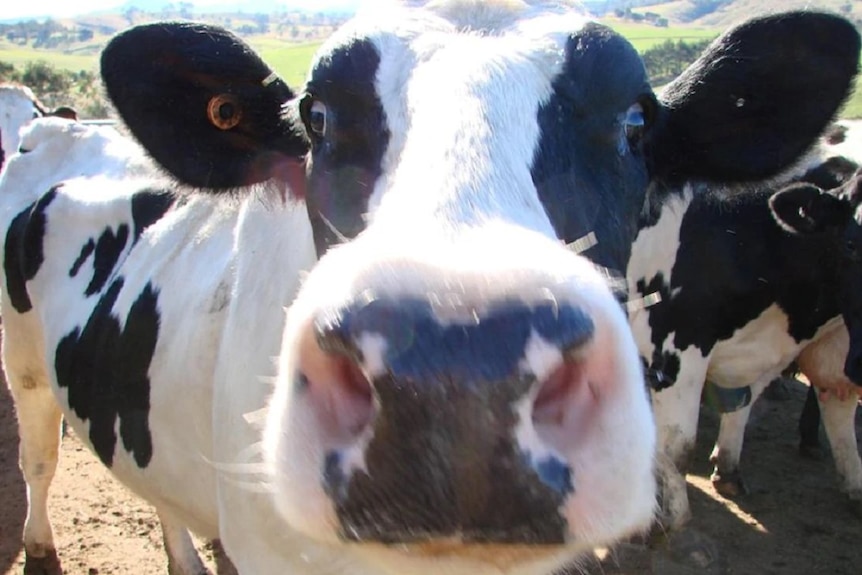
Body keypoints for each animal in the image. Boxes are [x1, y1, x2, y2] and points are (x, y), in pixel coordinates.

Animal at [628, 118, 862, 532]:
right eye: (852, 244)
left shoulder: (829, 339)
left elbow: (827, 404)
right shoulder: (673, 344)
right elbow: (677, 446)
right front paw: (667, 518)